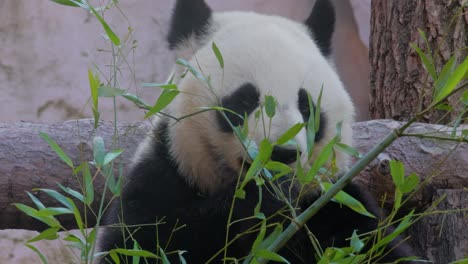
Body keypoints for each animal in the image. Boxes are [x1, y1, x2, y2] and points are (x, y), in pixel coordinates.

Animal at [97, 0, 414, 264]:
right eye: (245, 100)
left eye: (306, 106)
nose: (282, 153)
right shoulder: (164, 181)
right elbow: (147, 244)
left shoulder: (334, 203)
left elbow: (373, 246)